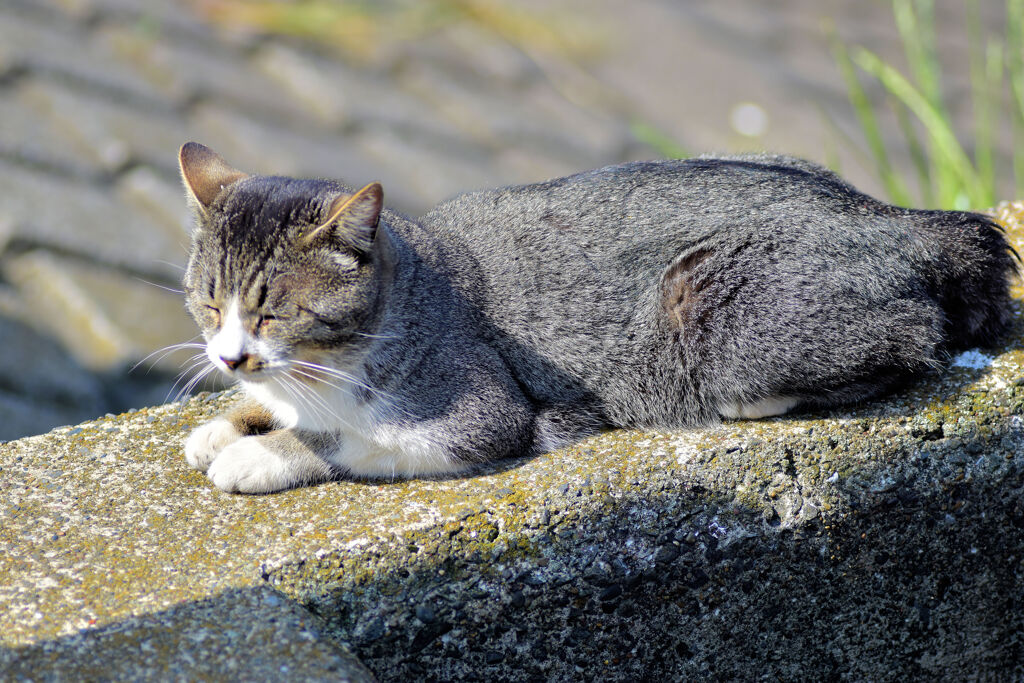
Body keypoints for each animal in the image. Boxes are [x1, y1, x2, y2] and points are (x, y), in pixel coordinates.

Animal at [176, 144, 1015, 493]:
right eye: (209, 301)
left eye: (276, 311)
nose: (229, 356)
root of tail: (895, 219)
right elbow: (280, 409)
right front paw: (230, 421)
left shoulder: (482, 415)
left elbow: (346, 440)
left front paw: (262, 452)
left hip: (717, 317)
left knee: (912, 337)